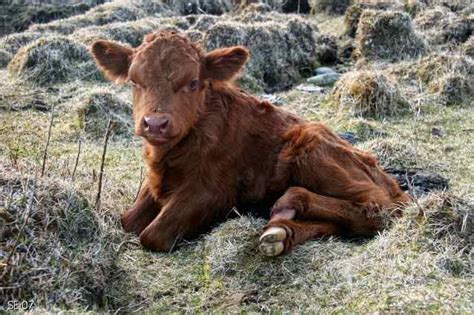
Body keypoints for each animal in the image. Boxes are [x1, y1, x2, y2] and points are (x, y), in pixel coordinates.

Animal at [90, 31, 410, 256]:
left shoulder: (212, 191)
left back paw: (291, 204)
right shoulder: (157, 182)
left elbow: (152, 234)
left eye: (192, 82)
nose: (155, 123)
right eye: (134, 81)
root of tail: (388, 179)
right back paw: (281, 232)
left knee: (378, 209)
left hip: (312, 149)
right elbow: (127, 220)